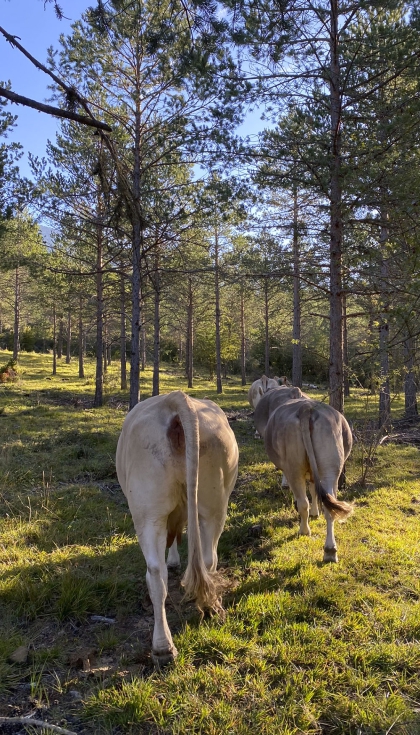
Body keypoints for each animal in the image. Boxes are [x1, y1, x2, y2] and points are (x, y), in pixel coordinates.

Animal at [116, 392, 238, 668]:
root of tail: (175, 399)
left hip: (148, 511)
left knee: (156, 573)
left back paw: (163, 647)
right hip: (213, 503)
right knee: (205, 559)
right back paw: (207, 610)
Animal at [254, 386, 352, 564]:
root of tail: (306, 408)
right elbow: (314, 490)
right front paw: (315, 512)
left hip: (294, 466)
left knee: (302, 502)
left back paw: (304, 530)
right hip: (330, 466)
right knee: (329, 506)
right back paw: (330, 551)